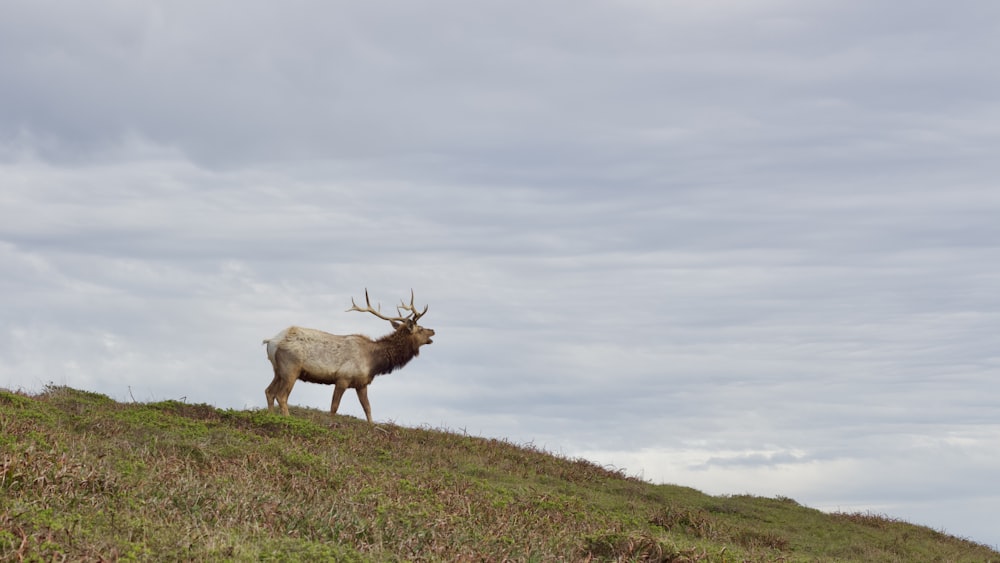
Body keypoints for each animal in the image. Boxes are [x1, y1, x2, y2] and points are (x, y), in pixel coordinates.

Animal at [264, 290, 436, 424]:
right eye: (420, 329)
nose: (433, 331)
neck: (373, 362)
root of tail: (271, 342)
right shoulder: (343, 378)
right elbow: (334, 407)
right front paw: (331, 424)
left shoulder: (361, 383)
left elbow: (368, 408)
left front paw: (372, 426)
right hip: (291, 368)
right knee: (281, 396)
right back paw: (287, 419)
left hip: (278, 370)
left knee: (269, 391)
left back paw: (271, 417)